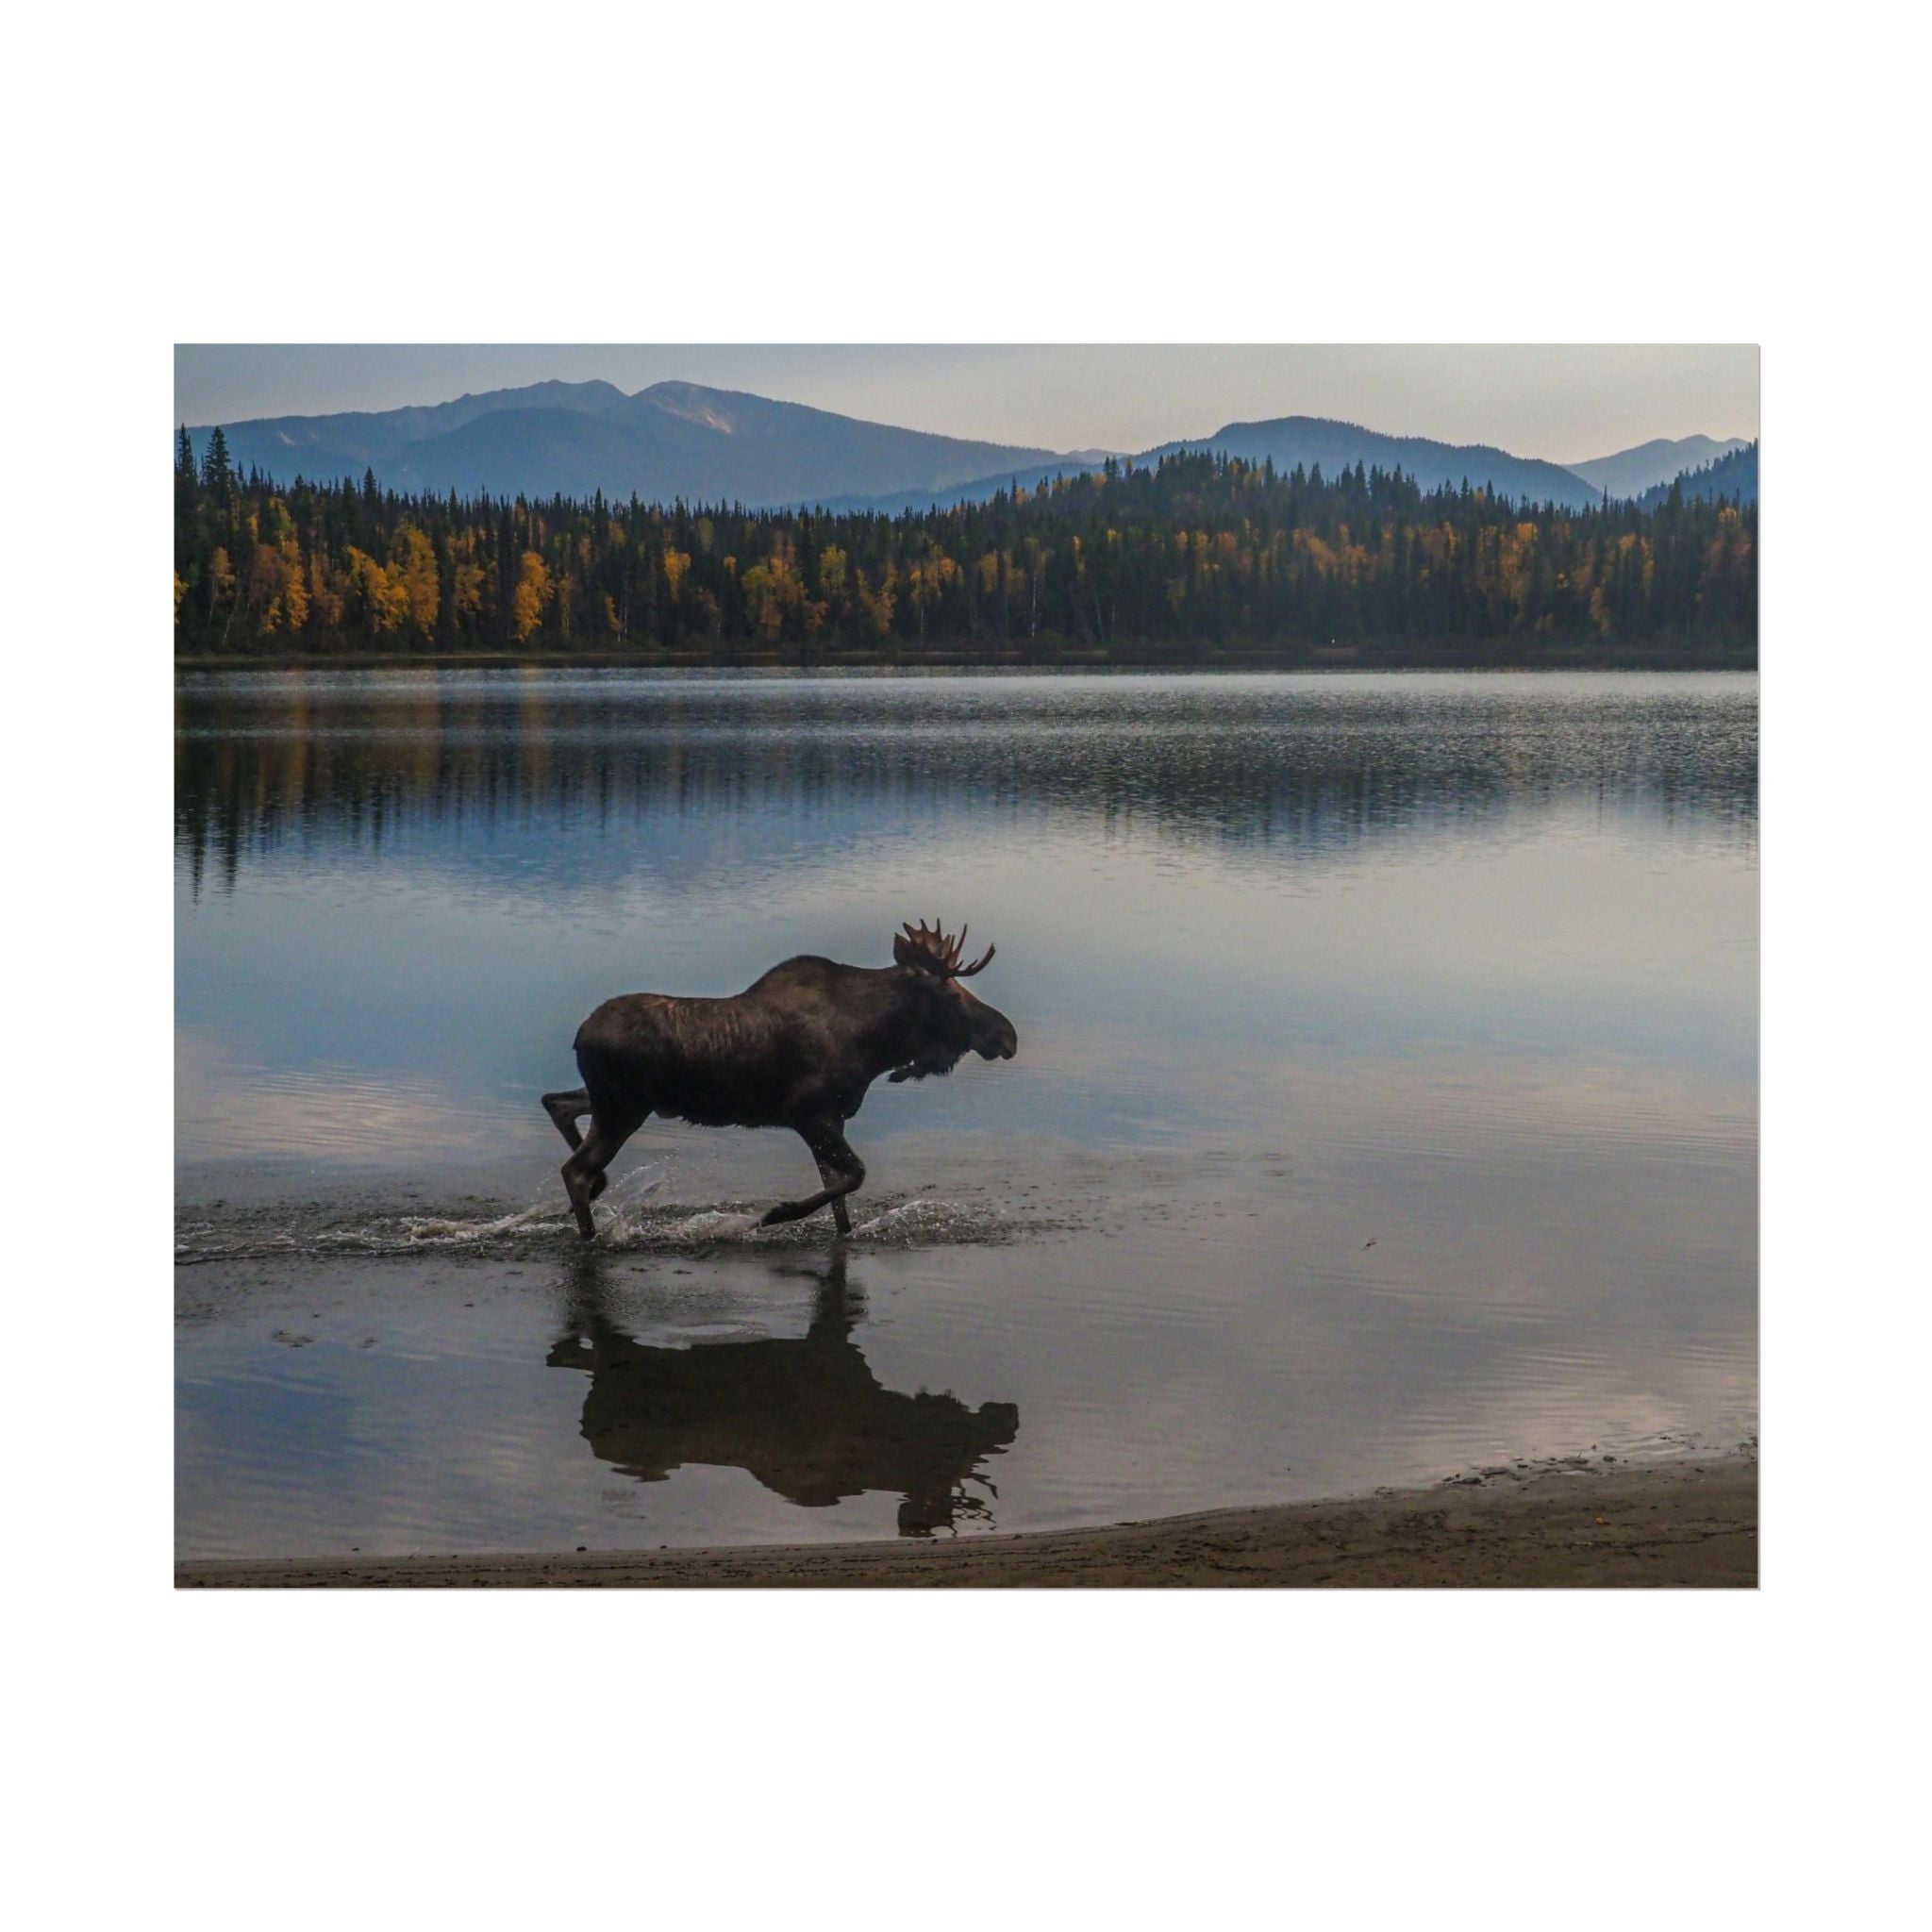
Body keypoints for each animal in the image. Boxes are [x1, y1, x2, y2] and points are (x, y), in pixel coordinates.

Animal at [542, 919, 1018, 1240]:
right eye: (949, 993)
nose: (1007, 1035)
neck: (875, 1044)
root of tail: (579, 1035)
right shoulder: (809, 1113)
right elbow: (855, 1176)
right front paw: (776, 1214)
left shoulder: (832, 1119)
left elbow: (840, 1199)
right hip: (622, 1108)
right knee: (575, 1169)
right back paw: (590, 1232)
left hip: (615, 1101)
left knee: (557, 1103)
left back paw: (600, 1189)